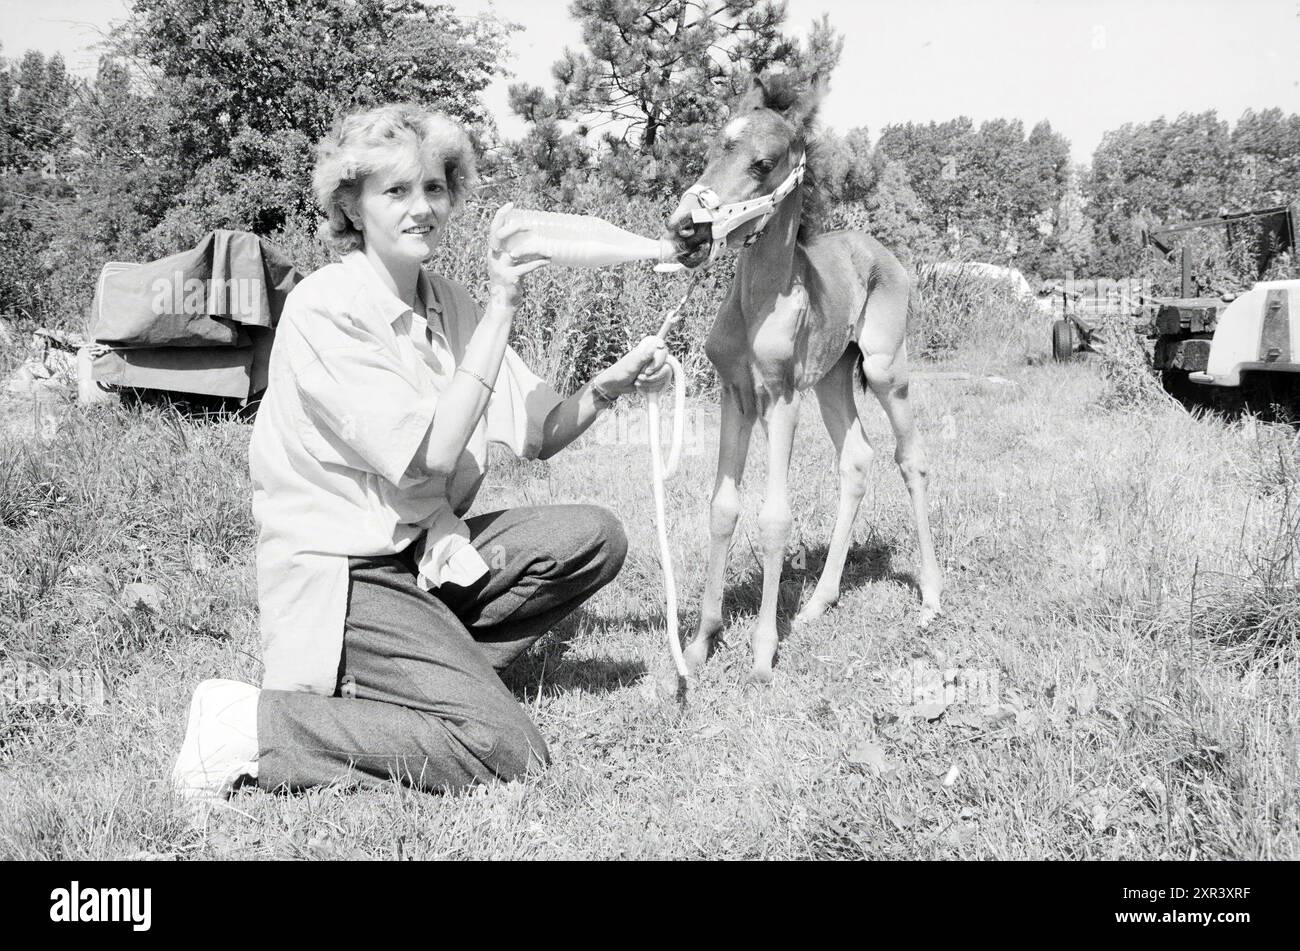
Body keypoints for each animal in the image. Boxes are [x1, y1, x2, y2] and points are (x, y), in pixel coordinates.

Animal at [665, 76, 941, 685]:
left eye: (763, 163)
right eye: (712, 148)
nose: (685, 229)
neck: (756, 303)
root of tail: (877, 249)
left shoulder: (781, 399)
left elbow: (774, 517)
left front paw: (763, 654)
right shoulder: (736, 397)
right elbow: (722, 508)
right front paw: (699, 644)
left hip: (884, 368)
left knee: (910, 457)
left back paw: (933, 597)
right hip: (834, 377)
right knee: (857, 458)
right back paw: (818, 602)